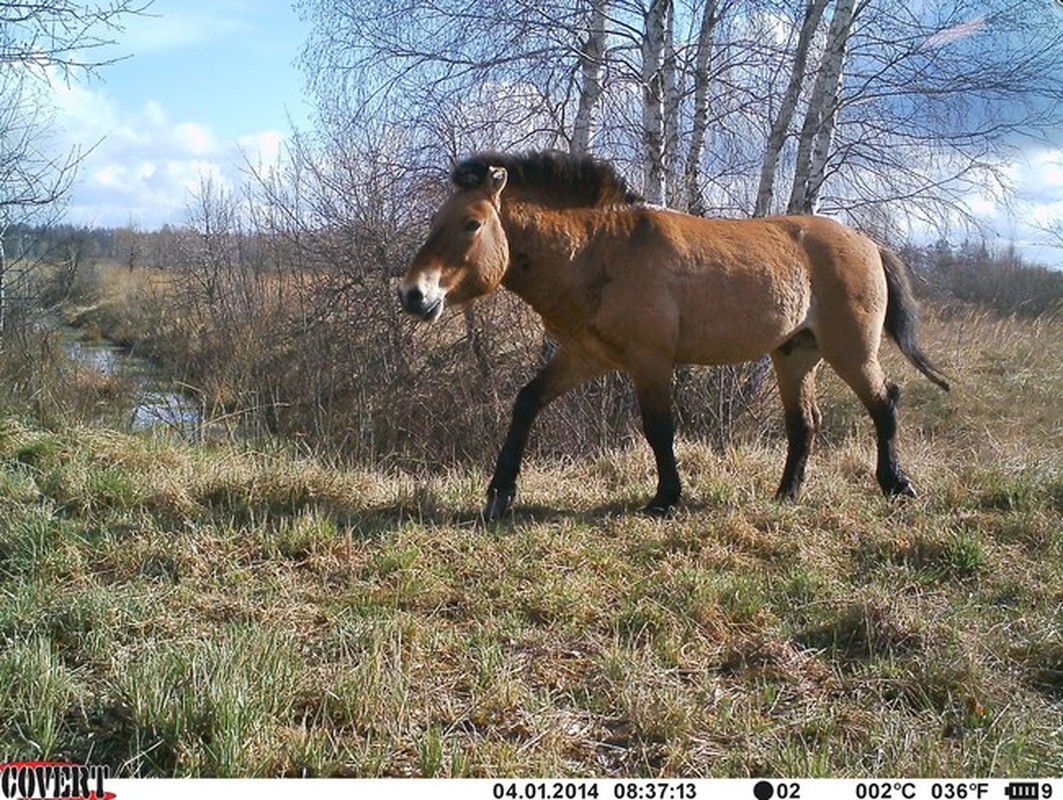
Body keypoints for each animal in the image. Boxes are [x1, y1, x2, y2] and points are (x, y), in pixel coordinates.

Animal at [397, 149, 948, 518]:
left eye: (471, 224)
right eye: (437, 219)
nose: (414, 295)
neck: (600, 249)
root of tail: (868, 243)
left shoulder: (651, 360)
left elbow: (659, 428)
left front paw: (666, 497)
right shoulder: (584, 357)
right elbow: (527, 403)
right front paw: (499, 494)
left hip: (850, 350)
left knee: (885, 401)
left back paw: (895, 483)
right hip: (794, 355)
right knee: (804, 423)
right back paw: (787, 493)